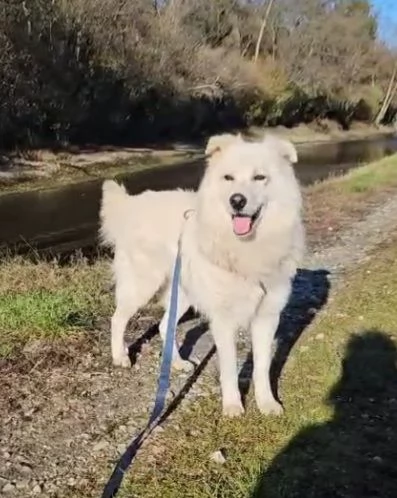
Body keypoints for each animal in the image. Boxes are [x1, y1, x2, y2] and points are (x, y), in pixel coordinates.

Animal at [99, 132, 304, 416]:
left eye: (259, 177)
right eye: (228, 178)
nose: (237, 201)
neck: (246, 250)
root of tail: (131, 204)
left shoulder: (267, 316)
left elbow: (262, 367)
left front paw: (267, 404)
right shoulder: (224, 320)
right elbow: (228, 368)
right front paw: (232, 407)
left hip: (182, 293)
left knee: (164, 325)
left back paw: (177, 364)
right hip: (142, 285)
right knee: (118, 319)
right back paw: (120, 357)